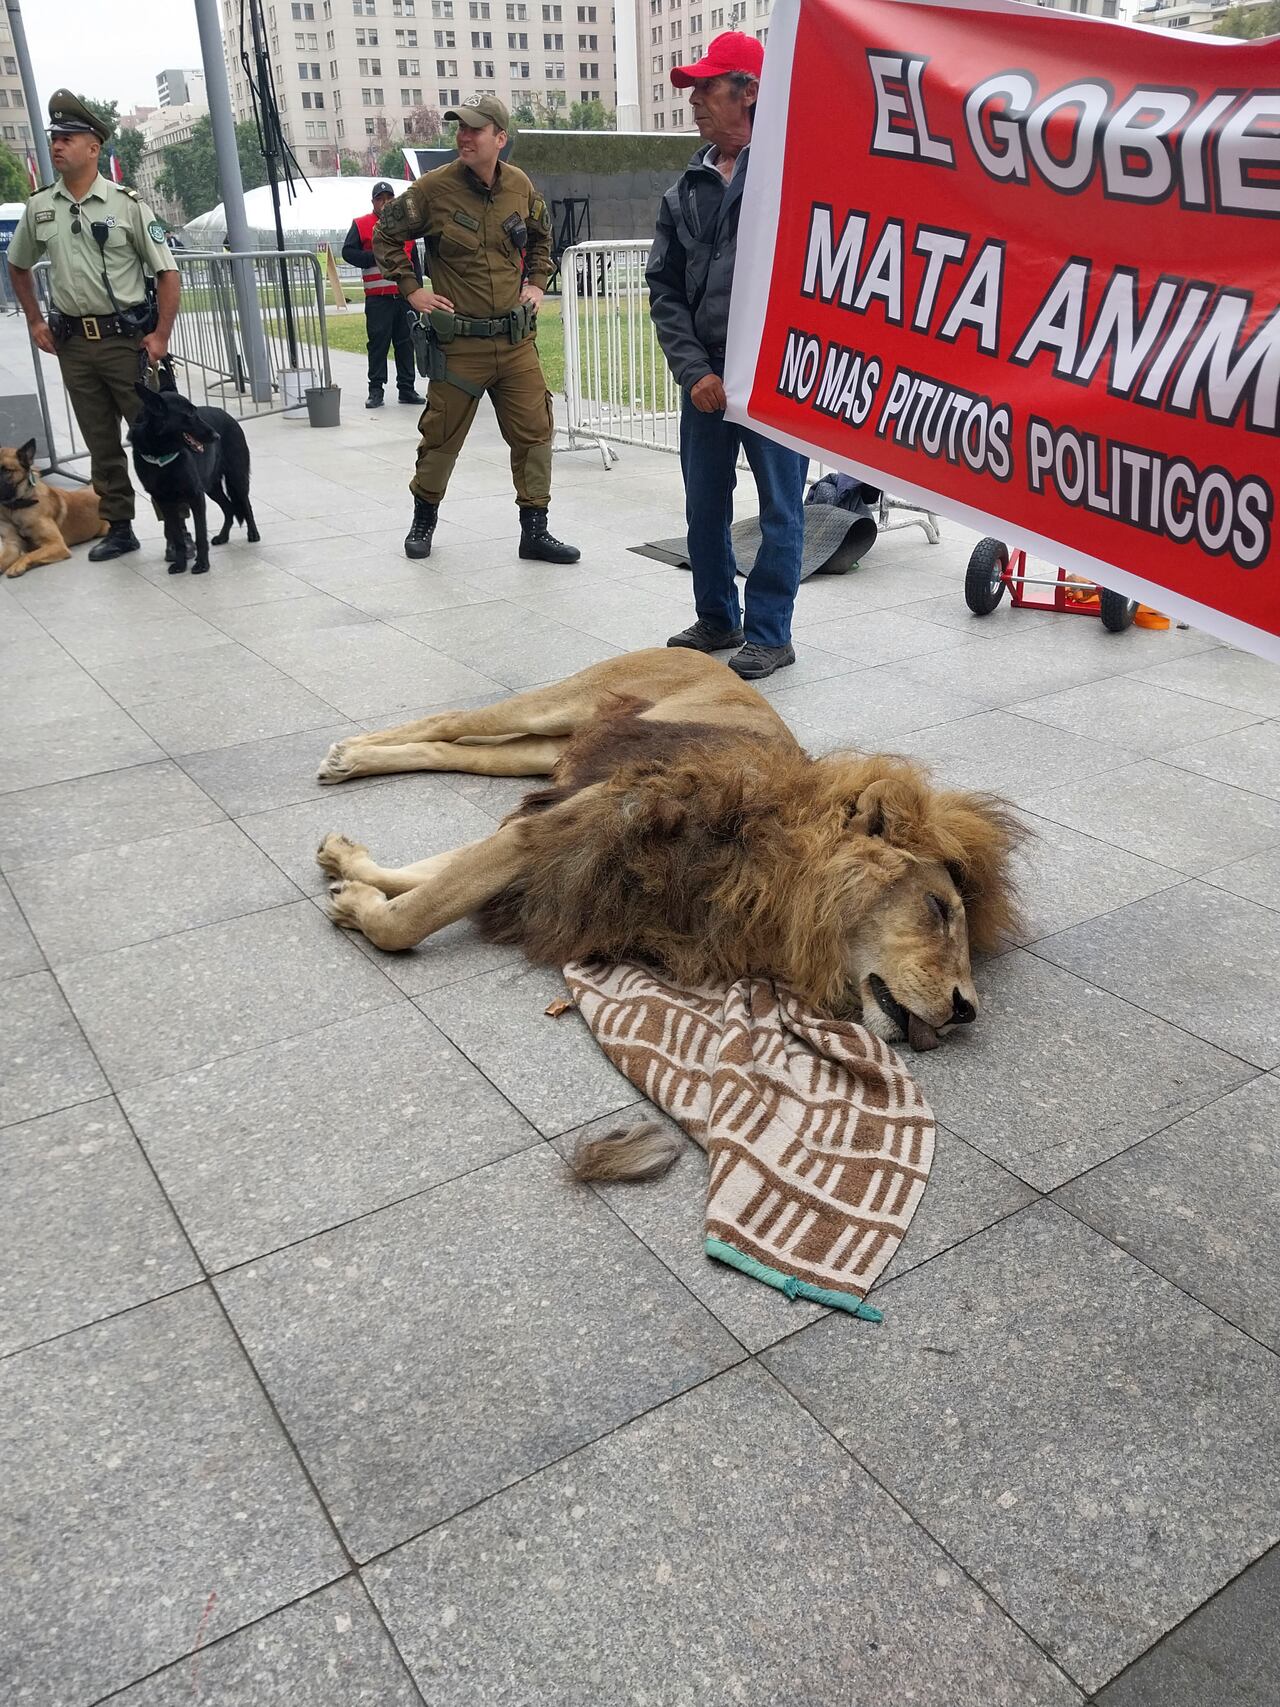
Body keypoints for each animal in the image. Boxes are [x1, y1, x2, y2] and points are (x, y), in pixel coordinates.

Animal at [315, 649, 1024, 1054]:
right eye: (939, 909)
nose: (966, 1010)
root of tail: (704, 653)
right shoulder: (578, 820)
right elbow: (414, 916)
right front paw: (356, 905)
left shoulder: (557, 823)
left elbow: (431, 875)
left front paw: (350, 870)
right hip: (556, 707)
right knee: (453, 721)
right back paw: (347, 753)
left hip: (546, 753)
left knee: (457, 748)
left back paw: (351, 771)